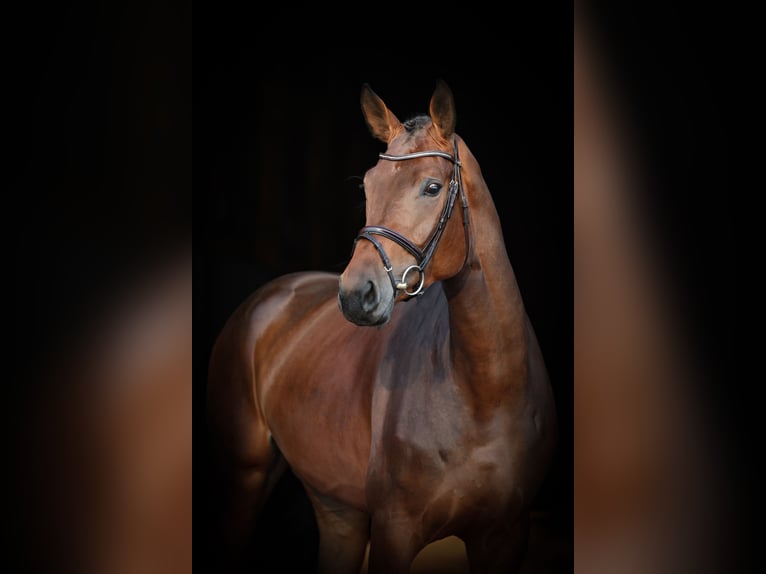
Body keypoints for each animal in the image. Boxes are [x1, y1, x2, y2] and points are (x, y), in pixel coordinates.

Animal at [206, 80, 558, 573]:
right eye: (369, 185)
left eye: (432, 187)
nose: (357, 294)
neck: (489, 393)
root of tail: (270, 296)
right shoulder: (395, 529)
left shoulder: (506, 536)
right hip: (245, 476)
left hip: (338, 509)